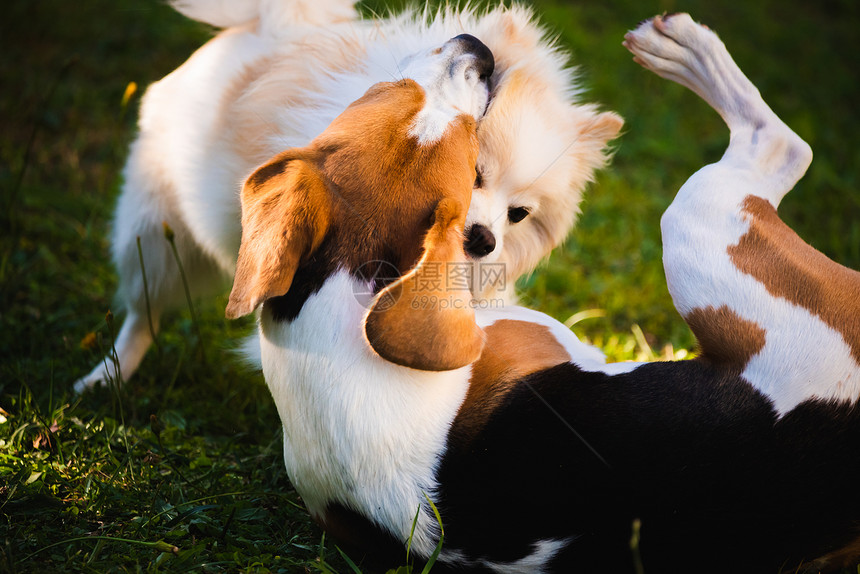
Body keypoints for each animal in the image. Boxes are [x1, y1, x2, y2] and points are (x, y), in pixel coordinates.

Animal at [225, 11, 860, 572]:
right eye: (468, 149)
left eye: (384, 92)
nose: (477, 50)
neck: (339, 294)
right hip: (700, 223)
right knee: (781, 145)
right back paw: (683, 47)